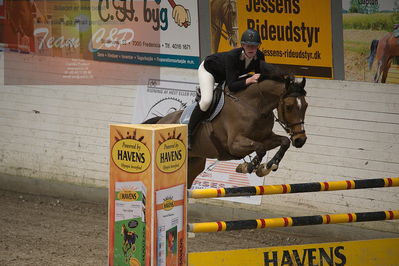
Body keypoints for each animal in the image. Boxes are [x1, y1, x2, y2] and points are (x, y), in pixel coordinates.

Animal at [144, 61, 310, 188]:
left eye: (306, 106)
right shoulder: (234, 144)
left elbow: (284, 141)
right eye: (289, 106)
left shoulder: (266, 137)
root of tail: (161, 120)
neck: (255, 106)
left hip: (194, 162)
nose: (300, 140)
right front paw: (248, 167)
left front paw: (269, 166)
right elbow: (260, 148)